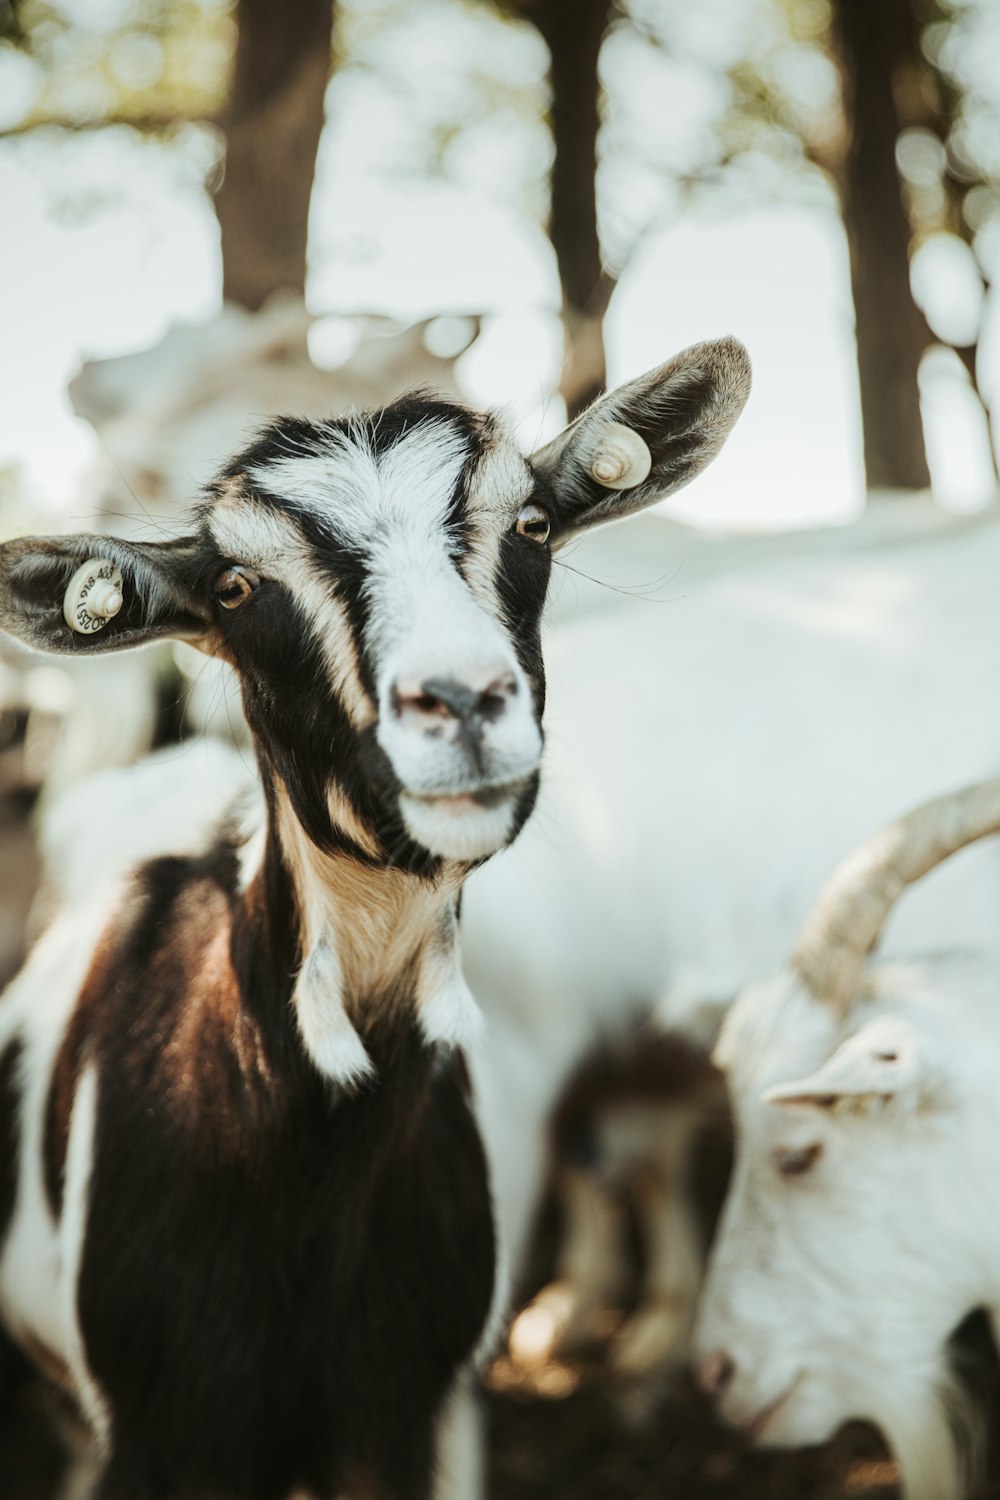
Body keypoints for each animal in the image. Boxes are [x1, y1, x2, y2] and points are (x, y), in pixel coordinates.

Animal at [0, 340, 749, 1500]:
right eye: (235, 586)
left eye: (531, 525)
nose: (463, 701)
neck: (313, 1158)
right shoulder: (161, 1437)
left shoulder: (408, 1411)